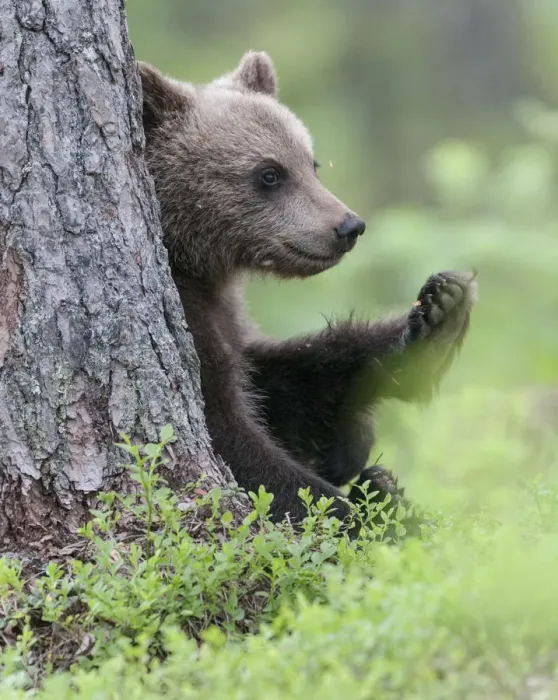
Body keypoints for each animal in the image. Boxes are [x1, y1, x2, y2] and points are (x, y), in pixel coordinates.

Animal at [138, 51, 477, 528]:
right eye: (269, 173)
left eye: (311, 163)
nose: (348, 226)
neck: (194, 261)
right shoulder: (188, 315)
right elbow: (235, 440)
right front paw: (367, 516)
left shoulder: (229, 315)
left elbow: (286, 384)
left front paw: (434, 320)